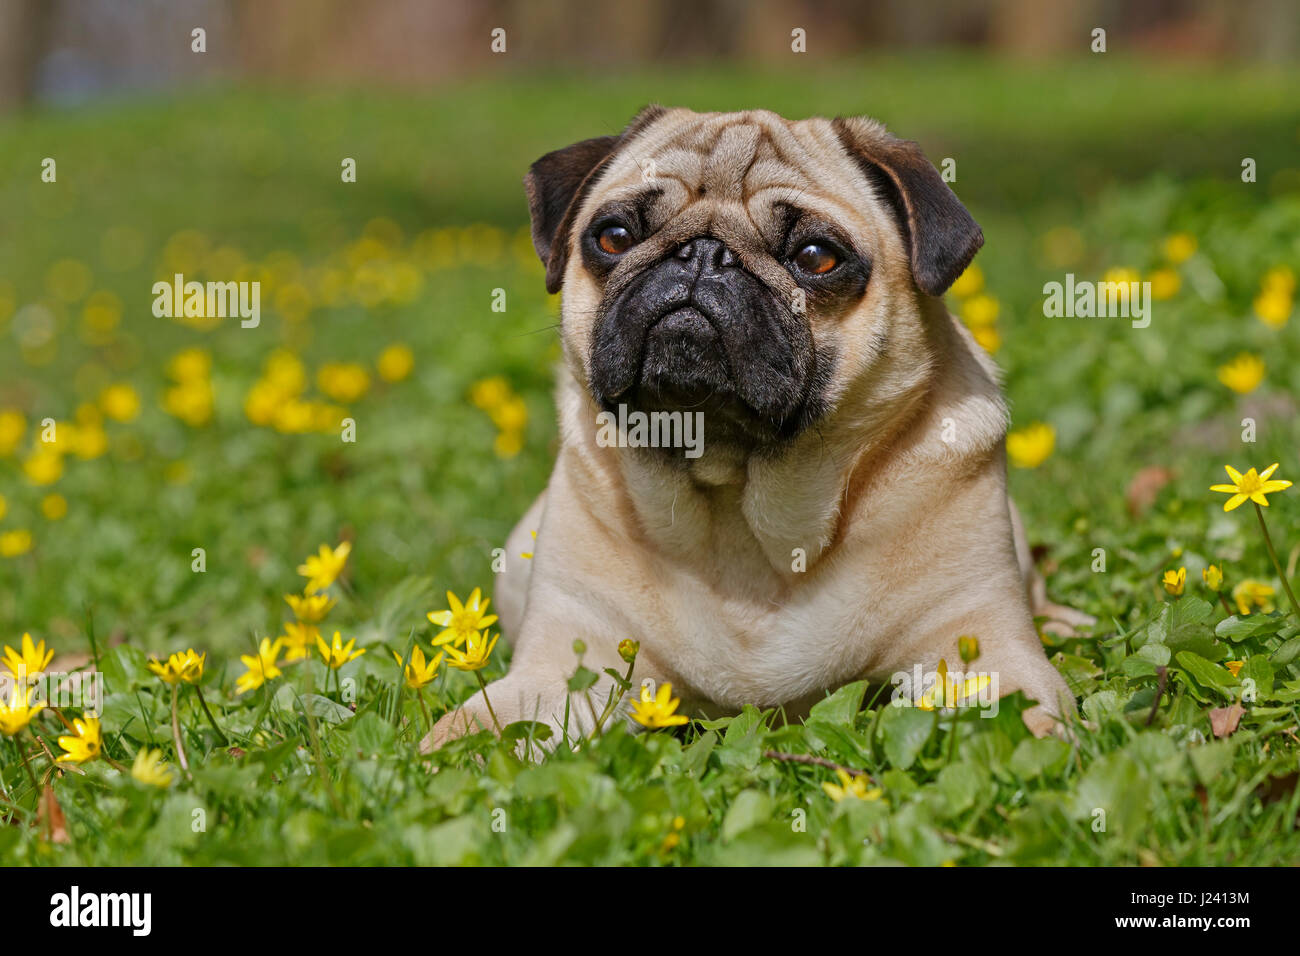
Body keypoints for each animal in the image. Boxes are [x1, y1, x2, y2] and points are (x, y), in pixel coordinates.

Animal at [423, 104, 1086, 749]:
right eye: (614, 236)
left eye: (816, 256)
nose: (703, 255)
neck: (737, 508)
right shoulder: (564, 660)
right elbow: (475, 729)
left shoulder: (976, 638)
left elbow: (1019, 717)